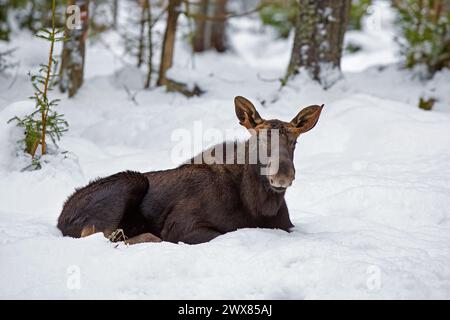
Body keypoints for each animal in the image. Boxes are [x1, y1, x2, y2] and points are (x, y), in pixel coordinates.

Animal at [57, 96, 324, 244]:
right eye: (258, 140)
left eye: (294, 142)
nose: (283, 175)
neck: (259, 206)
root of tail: (61, 218)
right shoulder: (181, 226)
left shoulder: (287, 226)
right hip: (130, 181)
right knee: (99, 235)